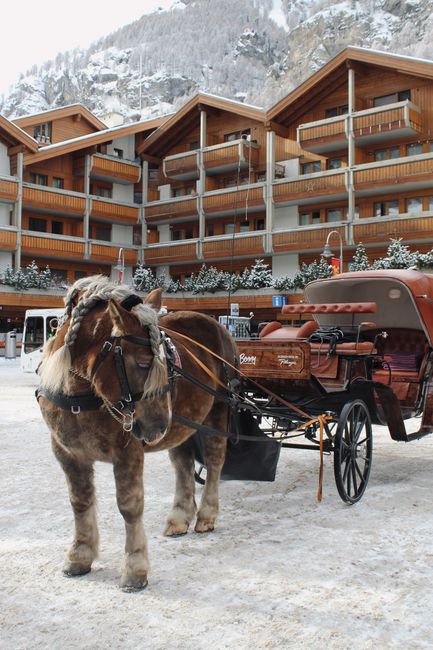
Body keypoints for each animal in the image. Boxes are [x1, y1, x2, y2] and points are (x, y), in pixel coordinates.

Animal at [37, 275, 238, 592]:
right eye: (143, 362)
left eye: (164, 362)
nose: (159, 424)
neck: (82, 395)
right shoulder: (67, 452)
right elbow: (80, 501)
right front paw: (80, 554)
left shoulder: (127, 451)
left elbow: (129, 506)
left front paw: (135, 568)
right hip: (183, 425)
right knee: (183, 465)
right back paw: (180, 517)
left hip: (219, 408)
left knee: (215, 460)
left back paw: (206, 514)